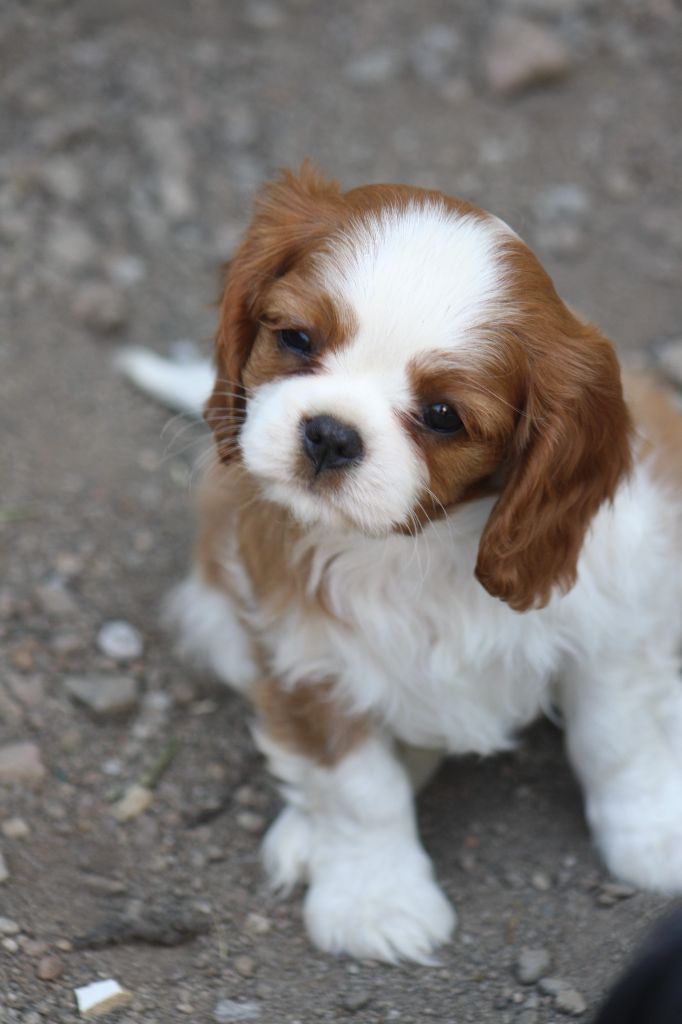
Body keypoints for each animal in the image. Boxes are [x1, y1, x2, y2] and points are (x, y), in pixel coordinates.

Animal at [119, 164, 682, 963]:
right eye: (296, 339)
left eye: (444, 416)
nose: (330, 434)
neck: (419, 545)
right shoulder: (308, 656)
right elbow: (359, 788)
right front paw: (375, 900)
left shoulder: (612, 620)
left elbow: (619, 738)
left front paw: (653, 833)